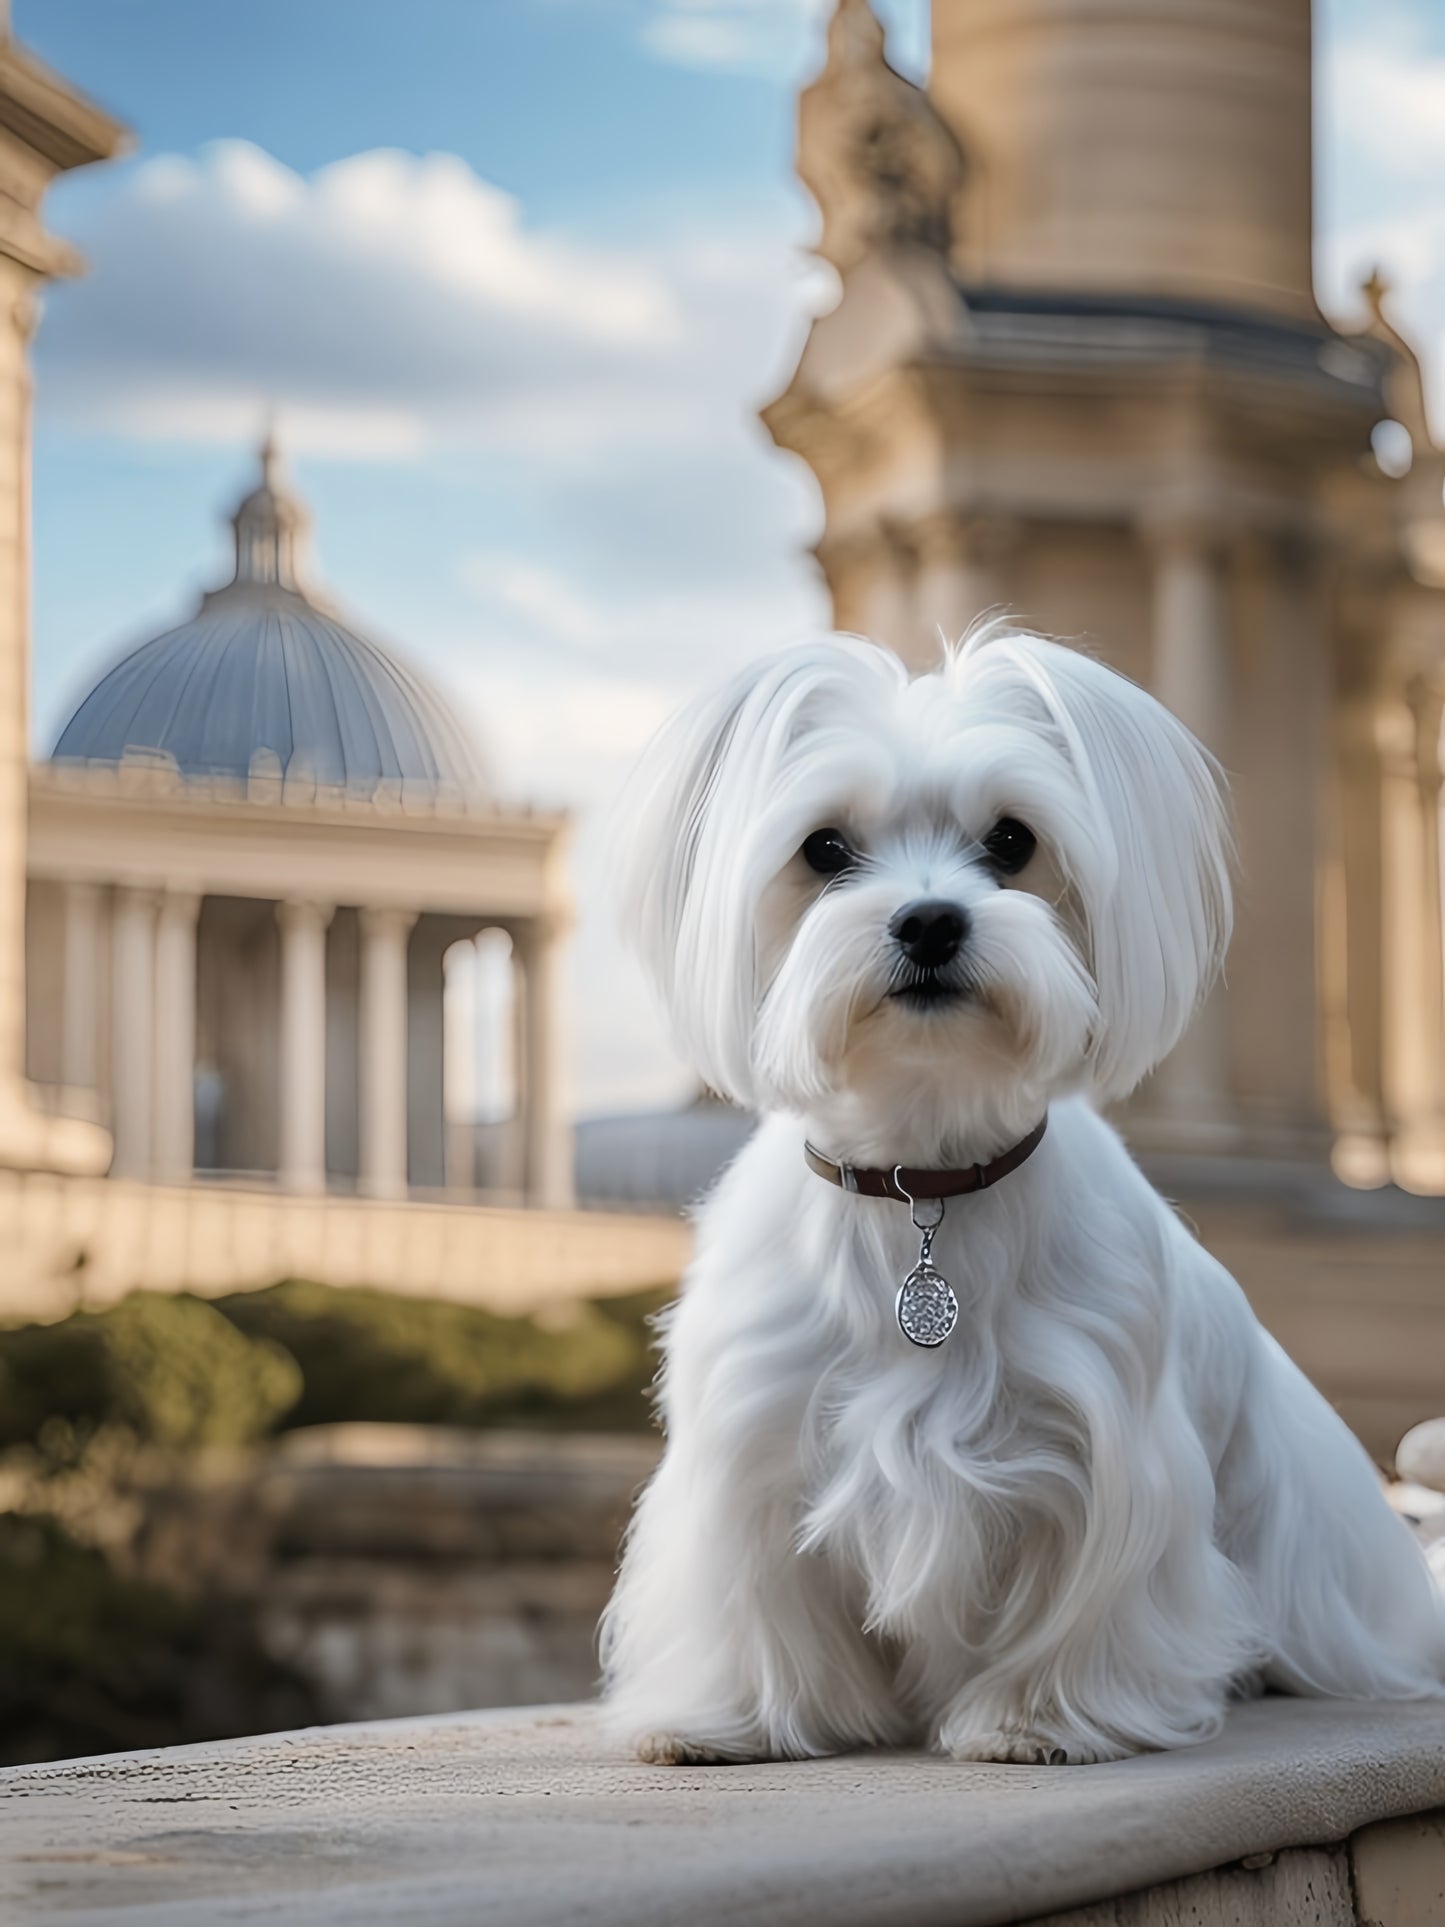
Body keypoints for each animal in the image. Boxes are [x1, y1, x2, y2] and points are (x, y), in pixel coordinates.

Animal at [601, 628, 1445, 1765]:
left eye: (1011, 839)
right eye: (823, 849)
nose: (927, 920)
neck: (922, 1183)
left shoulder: (1103, 1445)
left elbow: (1080, 1599)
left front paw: (1033, 1719)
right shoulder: (753, 1438)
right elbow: (756, 1603)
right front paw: (730, 1716)